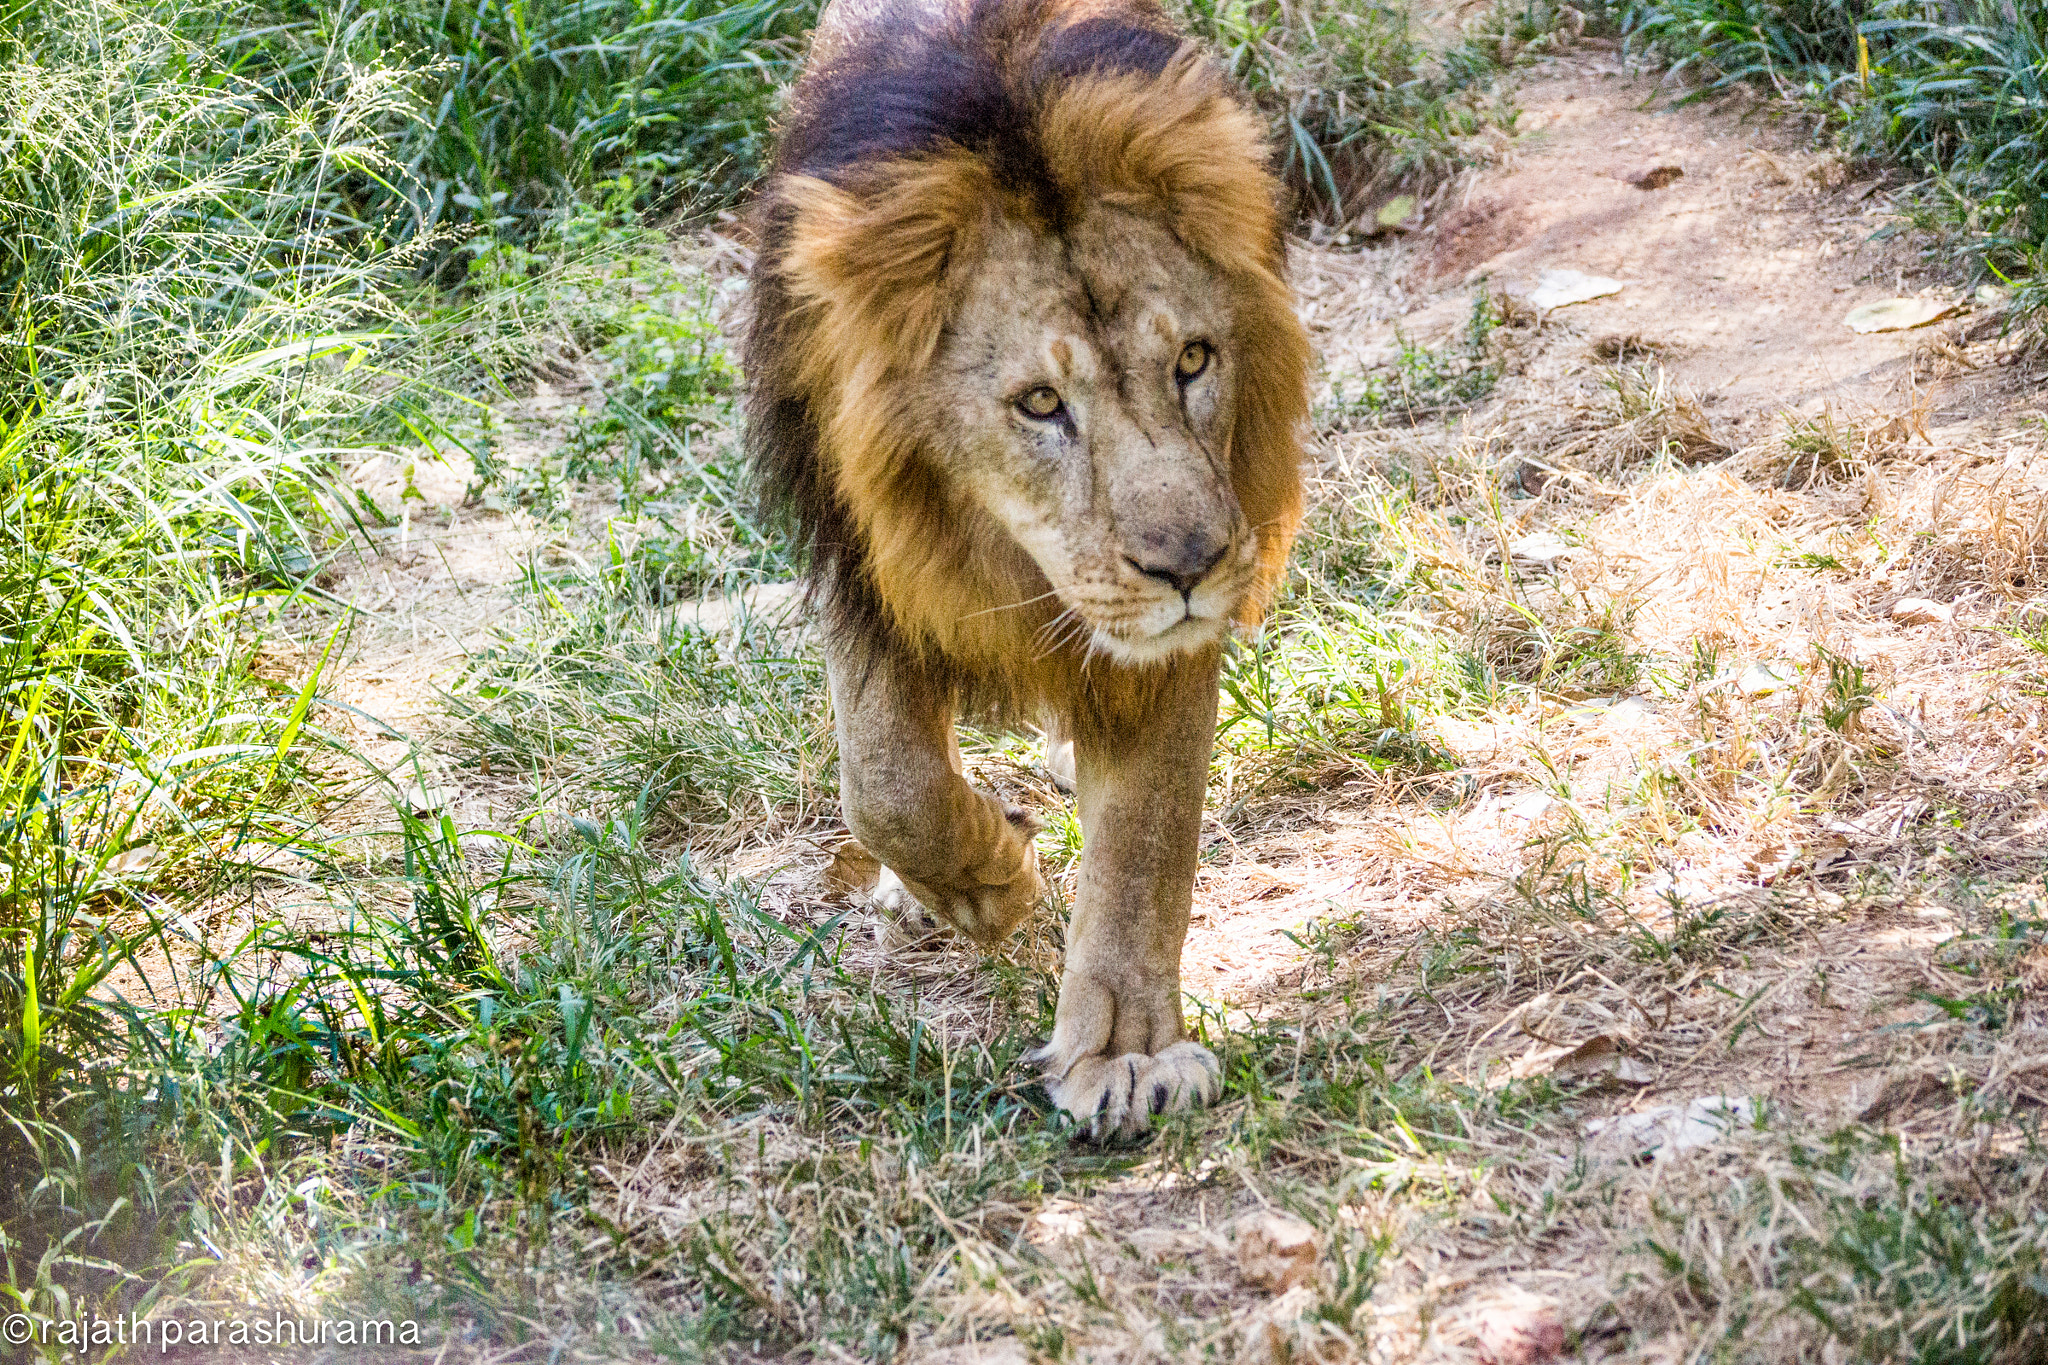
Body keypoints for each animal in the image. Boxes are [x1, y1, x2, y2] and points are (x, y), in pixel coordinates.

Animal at [744, 0, 1309, 1135]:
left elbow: (1144, 844)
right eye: (1040, 403)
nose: (1190, 566)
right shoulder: (866, 565)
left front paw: (1128, 1056)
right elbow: (886, 779)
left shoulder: (1160, 641)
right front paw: (987, 884)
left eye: (1192, 360)